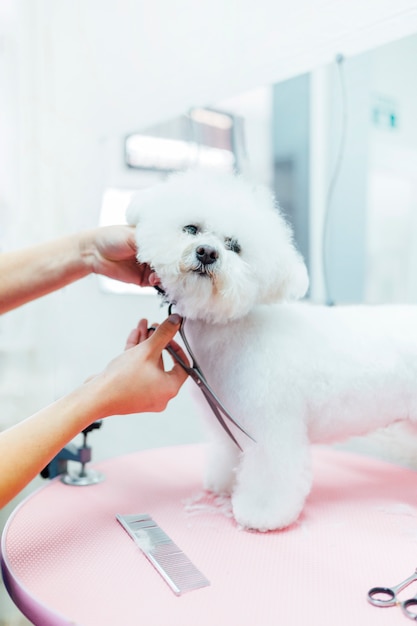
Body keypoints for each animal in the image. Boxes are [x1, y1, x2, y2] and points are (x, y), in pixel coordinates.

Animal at [127, 168, 416, 528]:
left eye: (235, 246)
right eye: (191, 229)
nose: (207, 252)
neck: (231, 330)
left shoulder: (272, 426)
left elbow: (271, 472)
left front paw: (261, 513)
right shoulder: (226, 418)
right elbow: (227, 452)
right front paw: (224, 484)